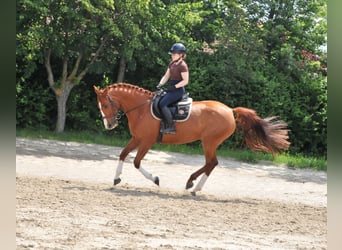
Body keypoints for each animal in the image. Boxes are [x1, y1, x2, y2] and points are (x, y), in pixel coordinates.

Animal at [93, 83, 288, 195]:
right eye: (100, 106)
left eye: (105, 105)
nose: (109, 125)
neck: (141, 109)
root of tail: (230, 110)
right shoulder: (137, 138)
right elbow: (122, 154)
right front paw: (116, 179)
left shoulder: (147, 141)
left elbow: (136, 162)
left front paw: (155, 179)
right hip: (209, 142)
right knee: (210, 163)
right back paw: (192, 183)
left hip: (209, 142)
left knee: (212, 163)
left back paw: (194, 186)